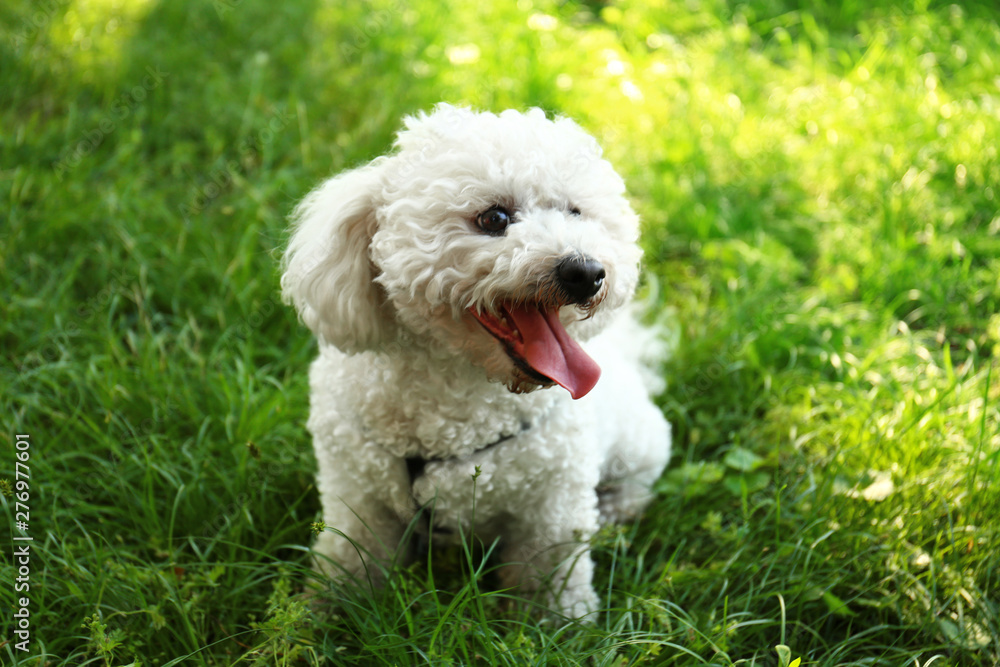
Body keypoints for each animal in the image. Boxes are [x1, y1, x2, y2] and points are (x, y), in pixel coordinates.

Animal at [282, 104, 672, 620]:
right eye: (495, 217)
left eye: (575, 211)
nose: (587, 271)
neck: (457, 406)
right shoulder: (358, 494)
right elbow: (351, 556)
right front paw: (333, 611)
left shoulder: (553, 505)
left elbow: (553, 574)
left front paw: (562, 623)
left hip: (638, 445)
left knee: (635, 485)